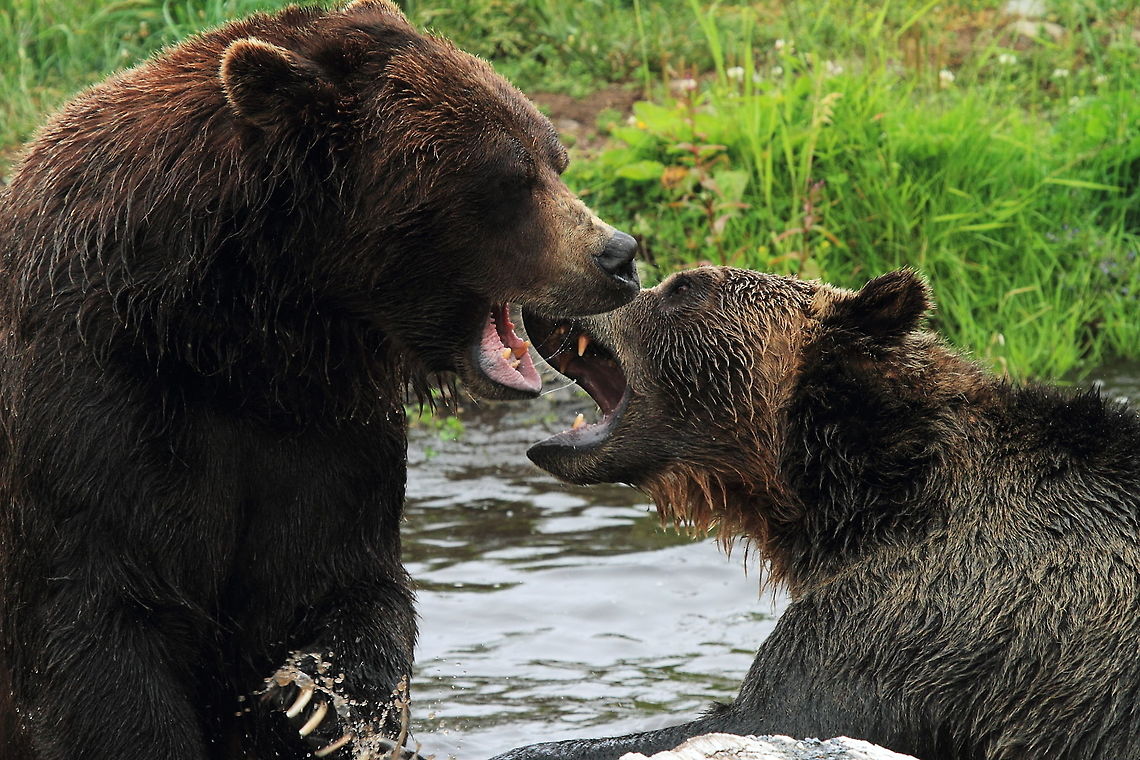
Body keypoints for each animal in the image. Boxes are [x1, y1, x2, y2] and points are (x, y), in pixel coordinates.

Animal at [0, 2, 639, 758]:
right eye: (510, 177)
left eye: (553, 155)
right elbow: (99, 625)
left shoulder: (324, 420)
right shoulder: (93, 402)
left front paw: (318, 699)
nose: (619, 255)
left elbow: (343, 575)